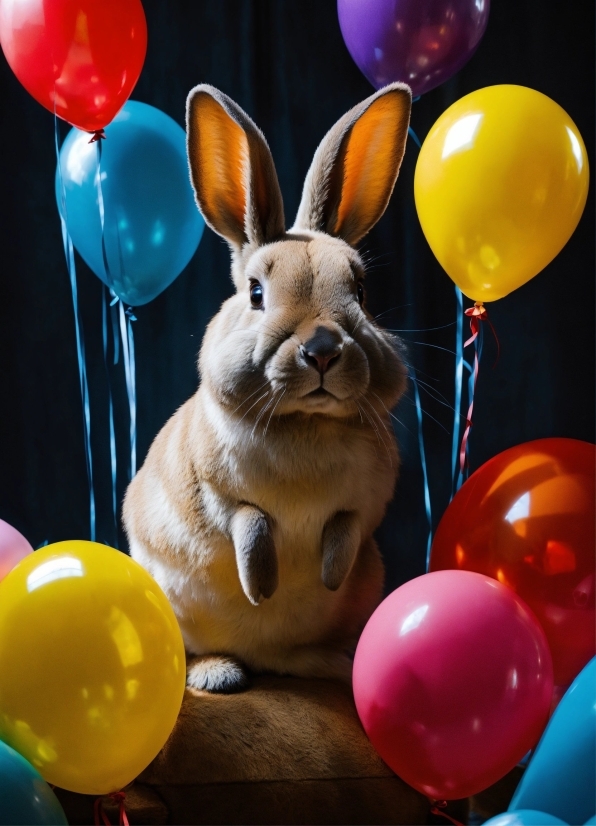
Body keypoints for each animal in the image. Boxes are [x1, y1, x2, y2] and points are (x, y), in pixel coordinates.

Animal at [121, 82, 410, 688]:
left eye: (361, 291)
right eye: (256, 293)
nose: (321, 350)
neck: (306, 425)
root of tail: (266, 658)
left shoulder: (368, 503)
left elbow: (346, 528)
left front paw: (328, 576)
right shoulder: (214, 495)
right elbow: (249, 525)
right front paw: (262, 589)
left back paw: (336, 663)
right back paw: (218, 674)